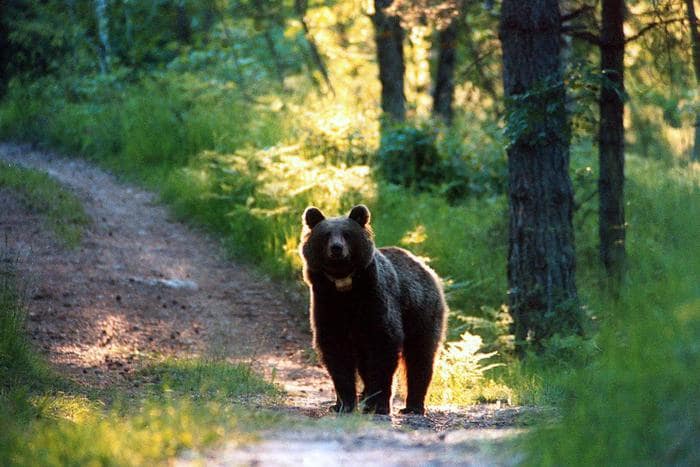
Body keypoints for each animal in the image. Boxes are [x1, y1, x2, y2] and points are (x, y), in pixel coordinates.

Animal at [299, 204, 447, 415]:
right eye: (326, 235)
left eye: (347, 234)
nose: (336, 248)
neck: (345, 287)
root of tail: (424, 266)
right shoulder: (327, 303)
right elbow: (336, 351)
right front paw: (343, 404)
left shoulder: (375, 300)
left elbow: (383, 346)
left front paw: (379, 405)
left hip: (421, 311)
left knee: (420, 355)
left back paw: (413, 406)